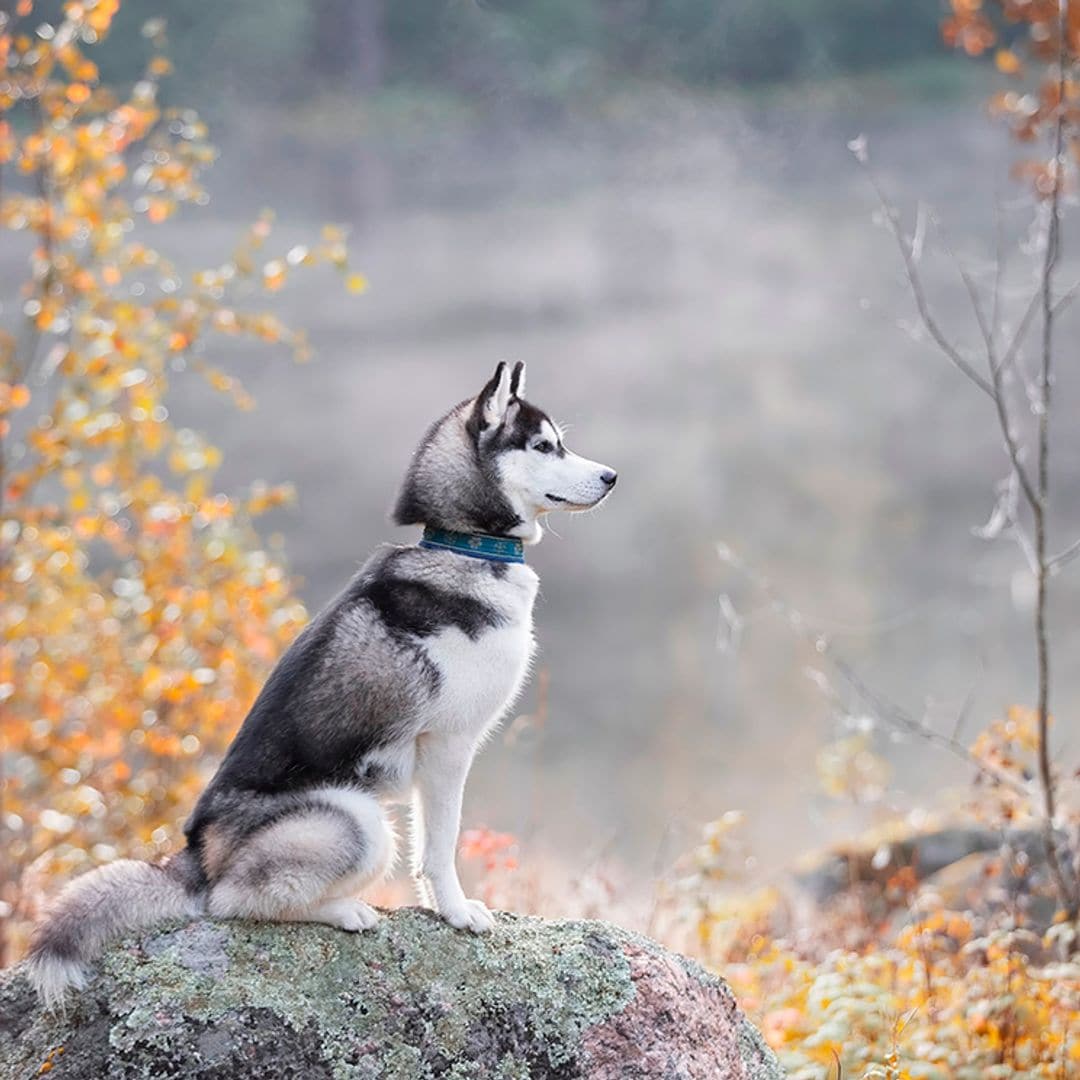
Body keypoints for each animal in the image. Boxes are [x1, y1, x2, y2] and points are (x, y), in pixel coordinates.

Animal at [25, 360, 617, 1002]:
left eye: (560, 442)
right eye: (543, 446)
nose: (611, 476)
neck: (465, 547)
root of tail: (192, 856)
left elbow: (427, 849)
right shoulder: (448, 746)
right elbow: (441, 845)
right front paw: (458, 913)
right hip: (356, 819)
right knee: (232, 901)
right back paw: (344, 910)